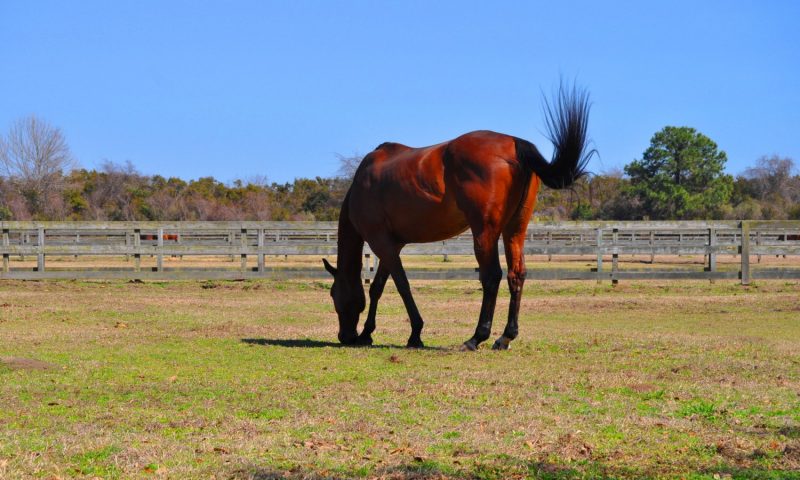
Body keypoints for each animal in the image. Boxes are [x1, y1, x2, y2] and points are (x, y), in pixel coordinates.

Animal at [322, 84, 592, 350]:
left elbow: (401, 285)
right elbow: (378, 287)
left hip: (484, 232)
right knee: (516, 275)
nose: (345, 336)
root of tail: (515, 144)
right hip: (514, 230)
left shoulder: (381, 243)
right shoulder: (392, 245)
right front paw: (368, 334)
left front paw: (414, 334)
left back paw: (476, 338)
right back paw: (505, 337)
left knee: (492, 276)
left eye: (333, 294)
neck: (361, 186)